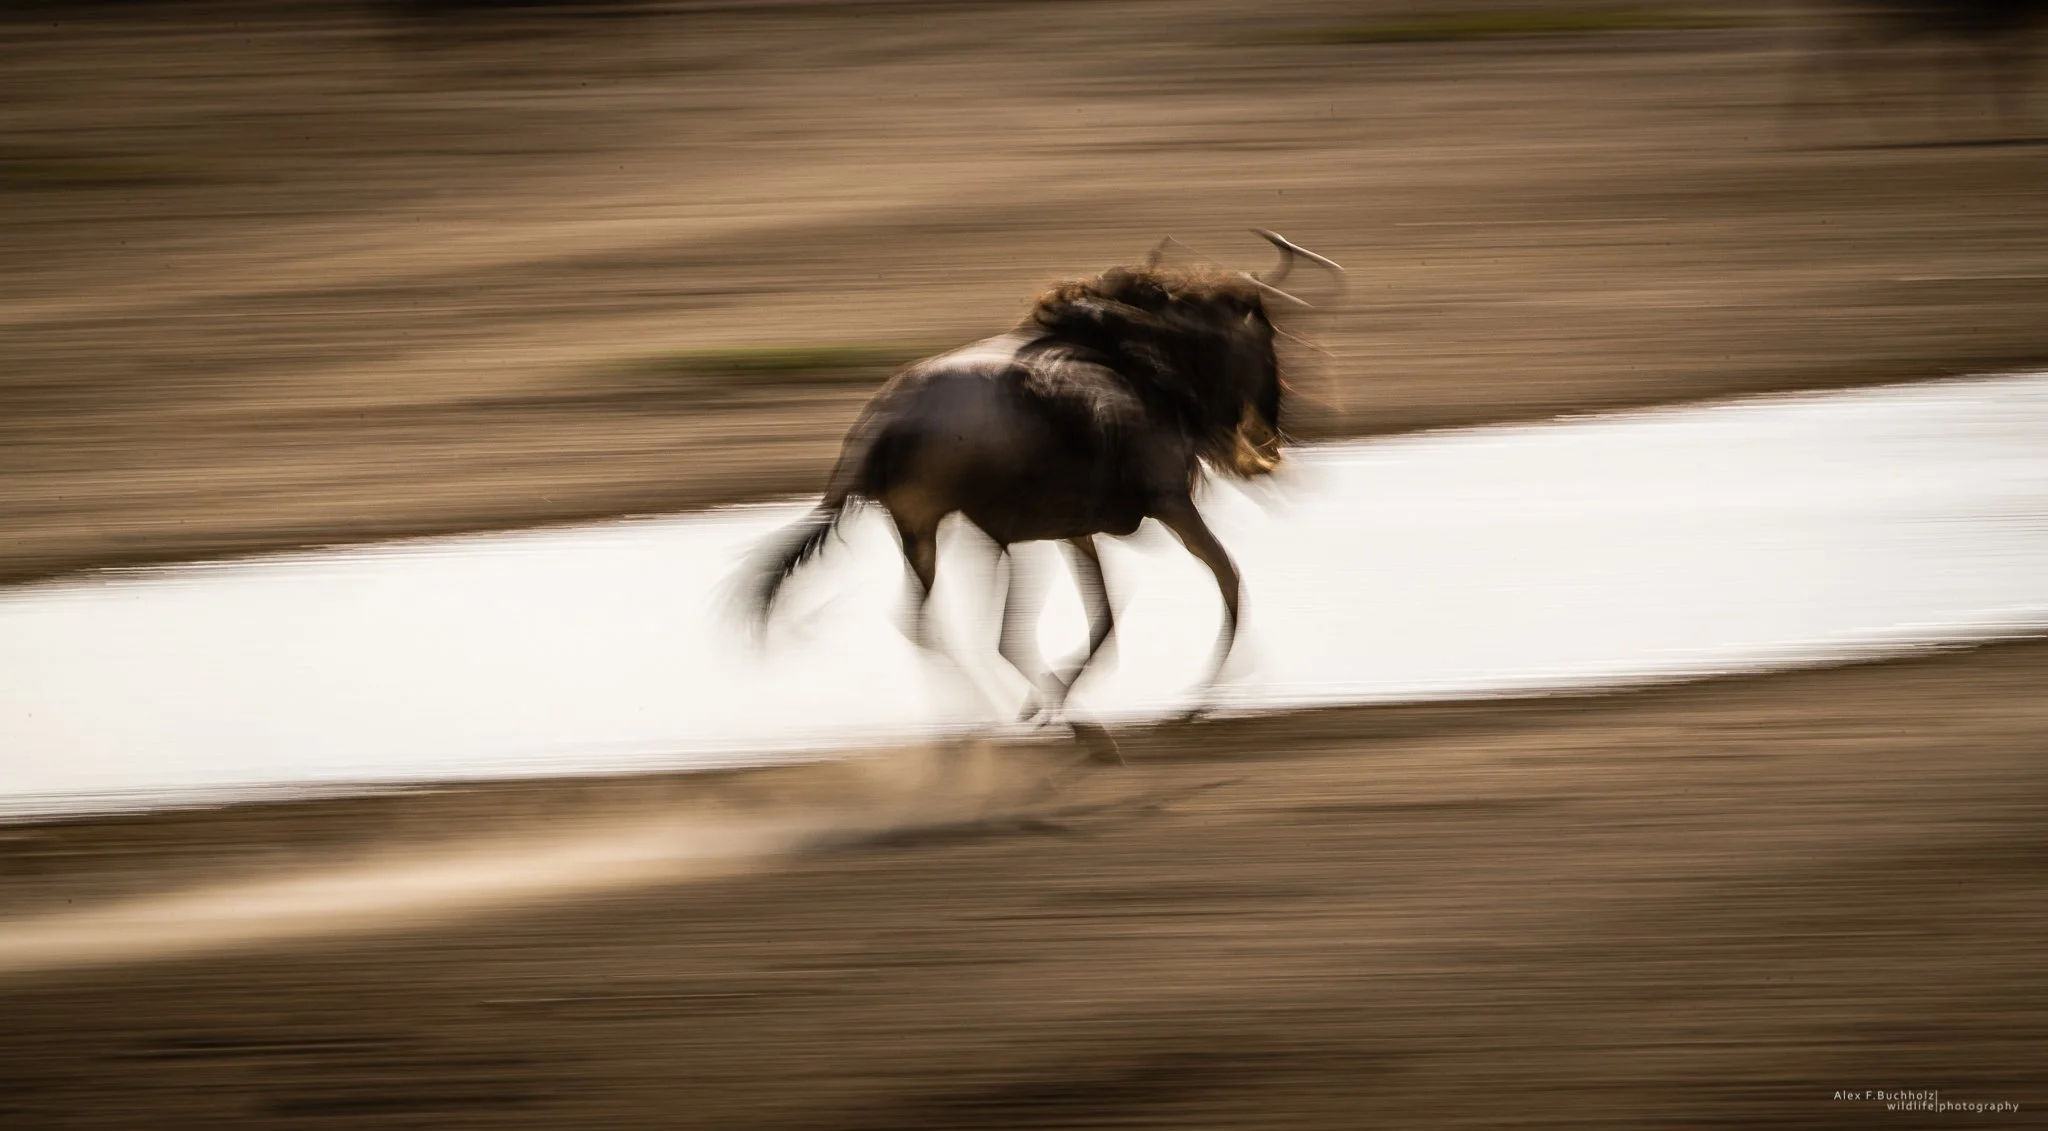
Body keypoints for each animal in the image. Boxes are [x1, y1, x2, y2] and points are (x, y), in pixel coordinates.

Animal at [743, 231, 1342, 734]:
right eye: (1266, 334)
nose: (1272, 435)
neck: (1138, 359)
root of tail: (882, 423)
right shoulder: (1168, 502)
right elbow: (1227, 578)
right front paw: (1197, 700)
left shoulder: (1076, 530)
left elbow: (1107, 615)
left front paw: (1058, 703)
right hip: (986, 533)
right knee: (987, 633)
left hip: (928, 530)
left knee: (927, 623)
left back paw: (989, 718)